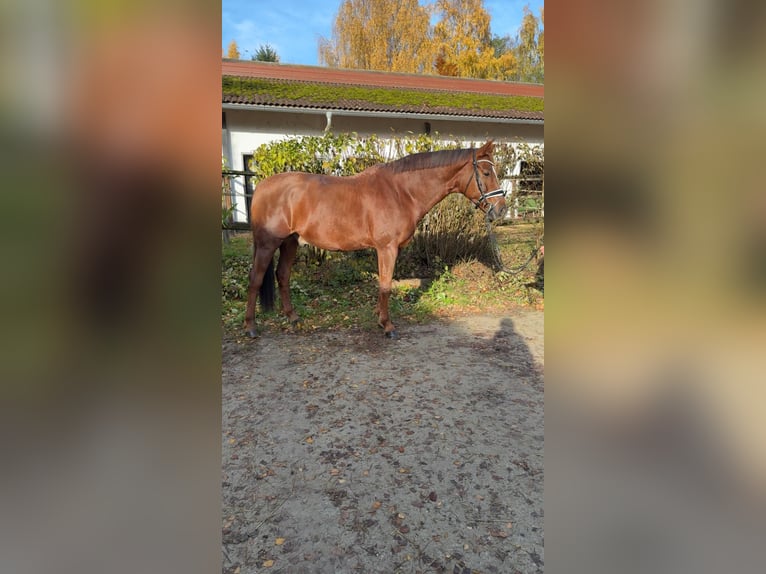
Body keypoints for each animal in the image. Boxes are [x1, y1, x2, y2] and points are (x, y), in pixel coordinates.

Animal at [244, 139, 507, 339]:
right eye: (486, 172)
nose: (501, 209)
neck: (401, 192)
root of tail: (262, 186)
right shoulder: (387, 248)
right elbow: (386, 286)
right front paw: (387, 325)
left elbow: (383, 284)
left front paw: (380, 319)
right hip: (268, 243)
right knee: (255, 279)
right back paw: (251, 327)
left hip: (290, 242)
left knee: (282, 276)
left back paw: (293, 318)